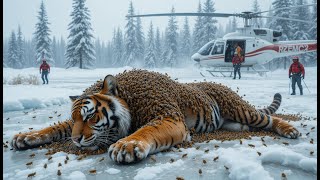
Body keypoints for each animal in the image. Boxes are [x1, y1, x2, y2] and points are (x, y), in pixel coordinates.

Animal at [10, 69, 300, 164]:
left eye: (91, 117)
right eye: (77, 120)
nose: (76, 141)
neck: (128, 99)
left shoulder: (167, 116)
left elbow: (146, 131)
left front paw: (127, 146)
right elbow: (52, 128)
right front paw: (25, 137)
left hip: (241, 108)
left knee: (268, 120)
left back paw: (290, 130)